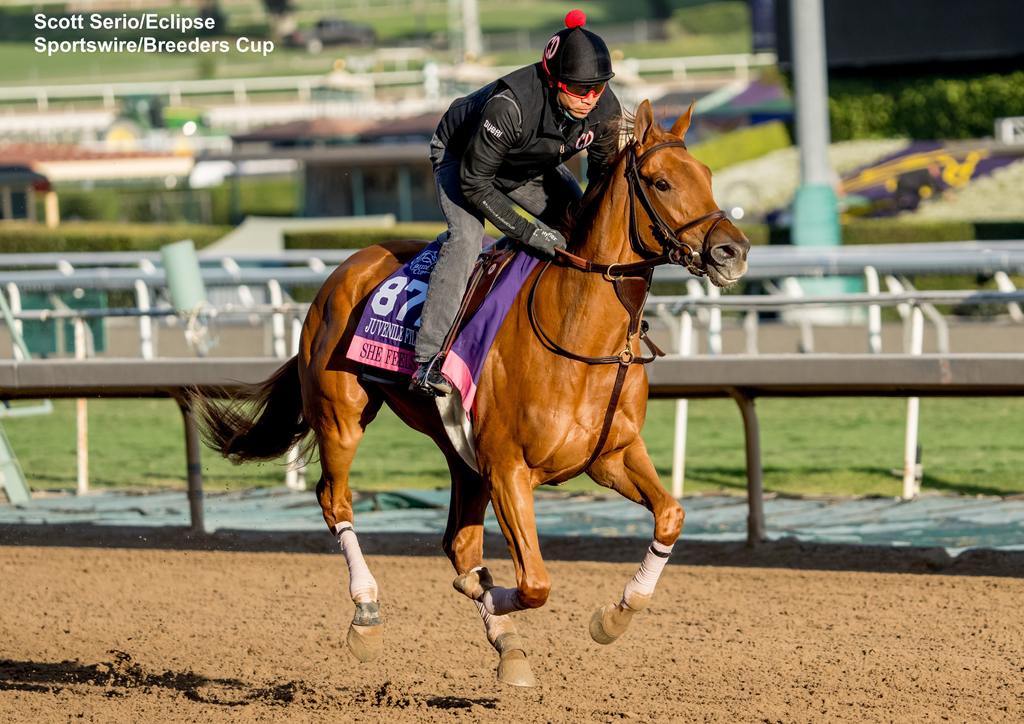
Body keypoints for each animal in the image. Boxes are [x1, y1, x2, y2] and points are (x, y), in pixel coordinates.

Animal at [193, 99, 753, 688]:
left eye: (708, 176)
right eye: (661, 181)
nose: (733, 251)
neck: (580, 333)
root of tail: (343, 269)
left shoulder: (610, 454)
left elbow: (671, 515)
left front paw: (614, 615)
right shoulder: (509, 468)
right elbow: (534, 583)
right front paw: (487, 592)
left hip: (461, 454)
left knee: (459, 542)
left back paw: (508, 646)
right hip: (341, 416)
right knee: (335, 500)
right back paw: (367, 612)